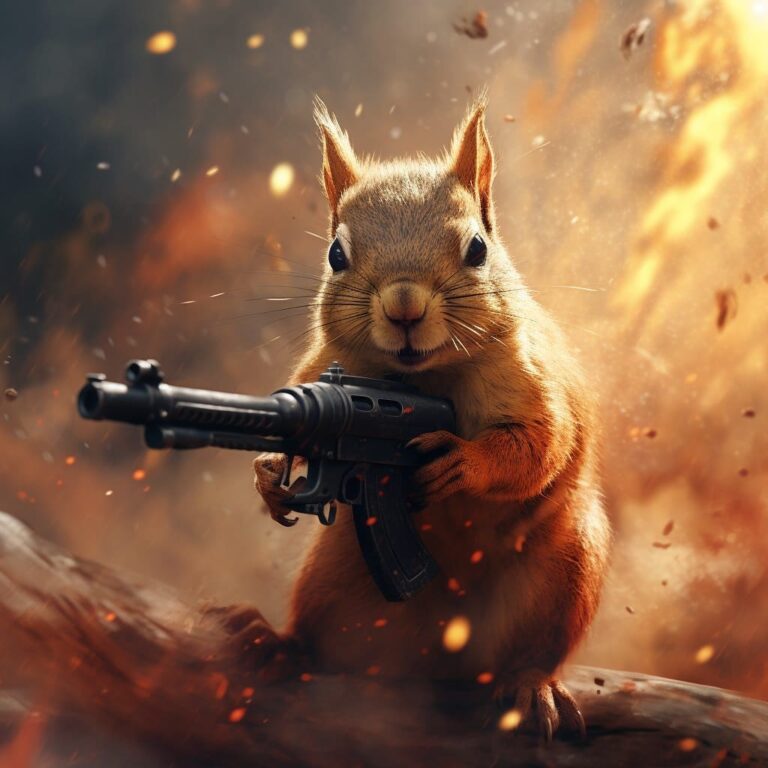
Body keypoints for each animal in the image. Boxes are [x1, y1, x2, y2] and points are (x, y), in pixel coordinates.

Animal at [253, 95, 611, 739]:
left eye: (478, 248)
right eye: (335, 254)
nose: (404, 307)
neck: (424, 377)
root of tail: (446, 644)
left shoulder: (533, 379)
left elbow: (539, 443)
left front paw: (463, 463)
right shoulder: (322, 365)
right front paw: (270, 471)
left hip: (564, 573)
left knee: (534, 649)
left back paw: (533, 687)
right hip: (334, 577)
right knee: (322, 640)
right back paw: (280, 647)